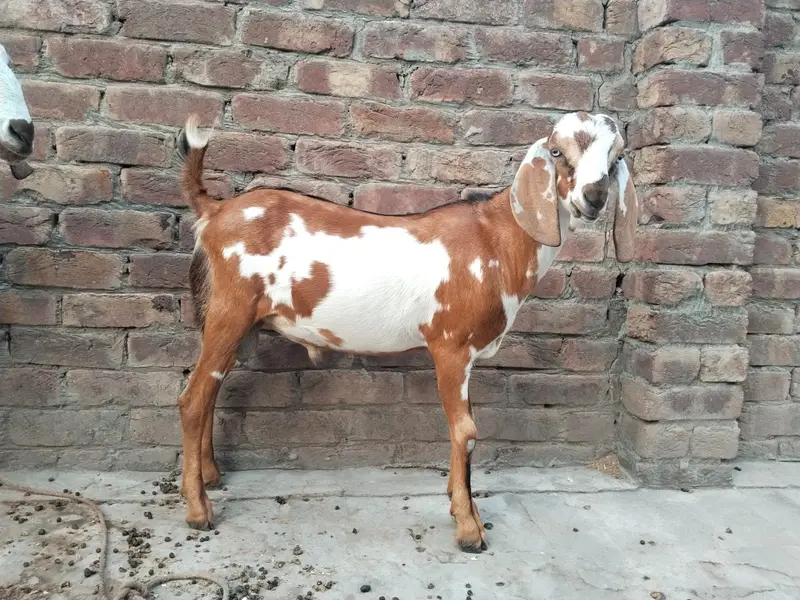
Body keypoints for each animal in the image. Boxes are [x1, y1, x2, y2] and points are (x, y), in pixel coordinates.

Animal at [174, 110, 639, 553]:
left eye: (616, 158)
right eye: (557, 152)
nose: (594, 197)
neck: (495, 240)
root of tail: (215, 210)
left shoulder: (467, 355)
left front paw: (459, 503)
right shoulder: (451, 346)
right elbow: (466, 431)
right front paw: (468, 528)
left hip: (227, 320)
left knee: (210, 391)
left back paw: (211, 476)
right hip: (230, 310)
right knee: (193, 399)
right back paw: (198, 510)